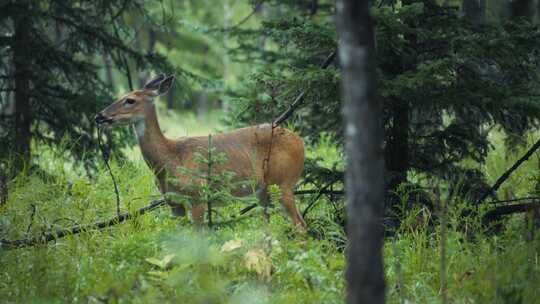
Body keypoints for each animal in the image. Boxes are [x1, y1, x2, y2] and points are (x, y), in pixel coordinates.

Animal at [94, 75, 306, 229]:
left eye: (129, 100)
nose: (100, 116)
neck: (170, 159)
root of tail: (300, 142)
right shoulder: (174, 203)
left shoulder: (198, 195)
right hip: (263, 191)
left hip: (283, 182)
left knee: (300, 224)